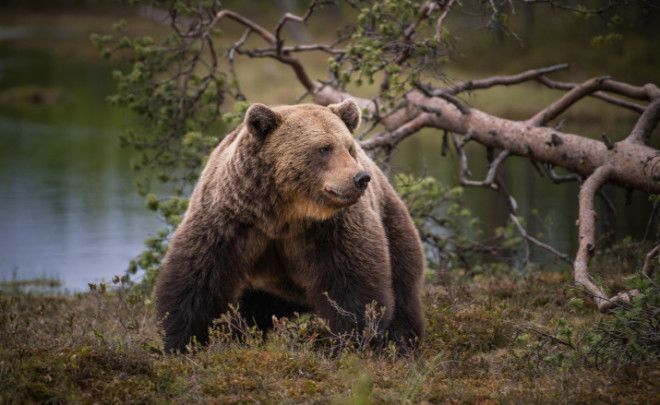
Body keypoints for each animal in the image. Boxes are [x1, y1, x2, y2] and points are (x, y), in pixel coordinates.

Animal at [153, 99, 426, 352]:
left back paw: (403, 342)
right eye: (324, 148)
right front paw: (179, 341)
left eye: (349, 147)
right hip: (267, 290)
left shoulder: (331, 229)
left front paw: (352, 339)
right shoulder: (229, 219)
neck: (283, 213)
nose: (360, 178)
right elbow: (197, 278)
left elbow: (353, 284)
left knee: (403, 290)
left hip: (392, 223)